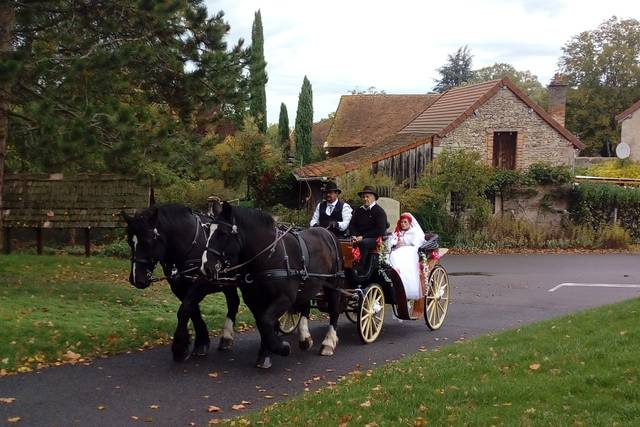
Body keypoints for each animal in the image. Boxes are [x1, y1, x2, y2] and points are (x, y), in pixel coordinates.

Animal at [122, 206, 240, 362]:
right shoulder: (178, 286)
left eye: (147, 241)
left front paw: (179, 347)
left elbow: (184, 309)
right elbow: (192, 311)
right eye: (130, 242)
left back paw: (226, 337)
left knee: (233, 302)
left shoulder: (202, 283)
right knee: (233, 301)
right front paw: (200, 342)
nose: (136, 279)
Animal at [201, 202, 344, 370]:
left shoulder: (284, 299)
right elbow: (262, 324)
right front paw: (265, 354)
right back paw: (305, 338)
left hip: (333, 285)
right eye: (208, 231)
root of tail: (327, 232)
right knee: (305, 306)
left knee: (334, 311)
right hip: (307, 284)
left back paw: (328, 343)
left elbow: (266, 322)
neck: (269, 255)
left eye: (223, 233)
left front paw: (281, 348)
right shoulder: (254, 300)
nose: (205, 267)